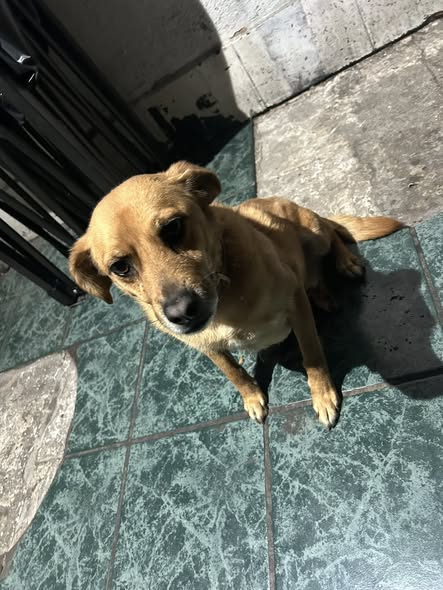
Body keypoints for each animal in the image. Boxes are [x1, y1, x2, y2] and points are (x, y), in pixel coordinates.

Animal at [69, 161, 403, 428]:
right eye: (120, 267)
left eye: (173, 227)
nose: (181, 313)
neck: (225, 297)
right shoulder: (206, 346)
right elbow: (233, 372)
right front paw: (252, 396)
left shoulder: (295, 304)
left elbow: (313, 356)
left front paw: (322, 395)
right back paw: (321, 292)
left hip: (313, 233)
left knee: (333, 231)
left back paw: (345, 262)